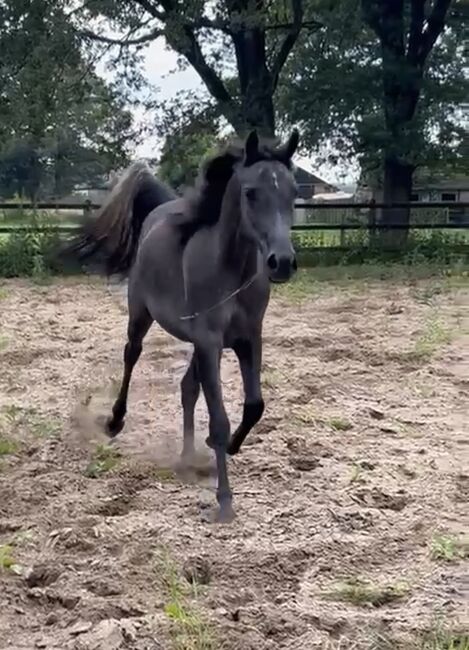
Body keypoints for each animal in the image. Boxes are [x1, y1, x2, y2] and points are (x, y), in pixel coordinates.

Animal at [65, 129, 300, 520]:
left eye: (294, 193)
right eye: (251, 192)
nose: (281, 262)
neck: (231, 269)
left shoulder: (248, 338)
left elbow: (254, 405)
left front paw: (227, 448)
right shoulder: (209, 340)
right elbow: (219, 419)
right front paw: (224, 500)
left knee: (187, 387)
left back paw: (188, 456)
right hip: (141, 316)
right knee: (132, 355)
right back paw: (115, 421)